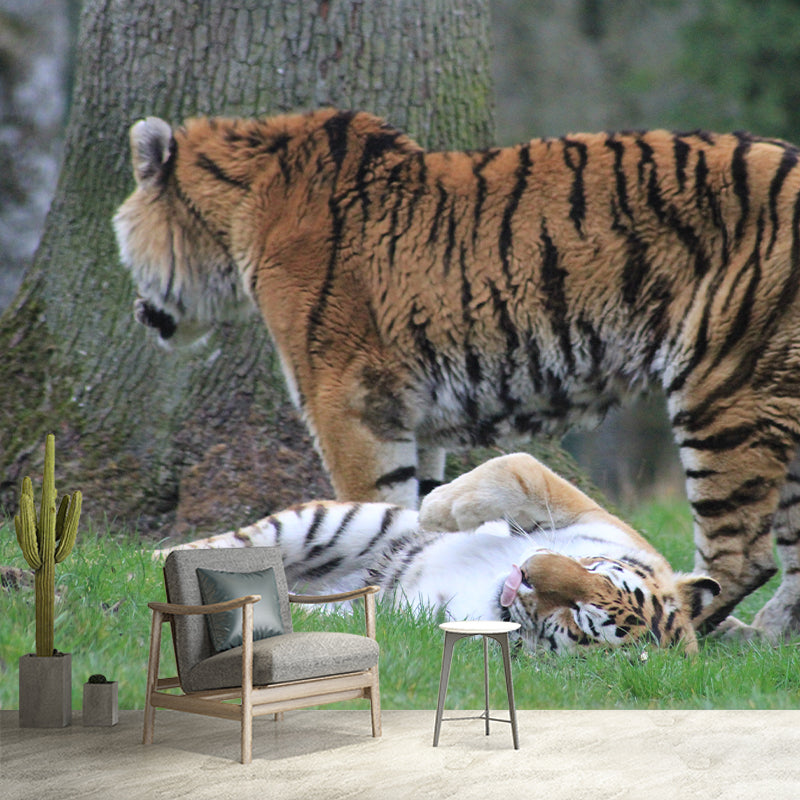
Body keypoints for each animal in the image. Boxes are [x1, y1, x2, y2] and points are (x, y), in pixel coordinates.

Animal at [157, 453, 720, 655]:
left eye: (581, 619)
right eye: (596, 569)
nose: (529, 569)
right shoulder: (594, 517)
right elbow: (521, 467)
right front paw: (441, 509)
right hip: (344, 521)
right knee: (216, 547)